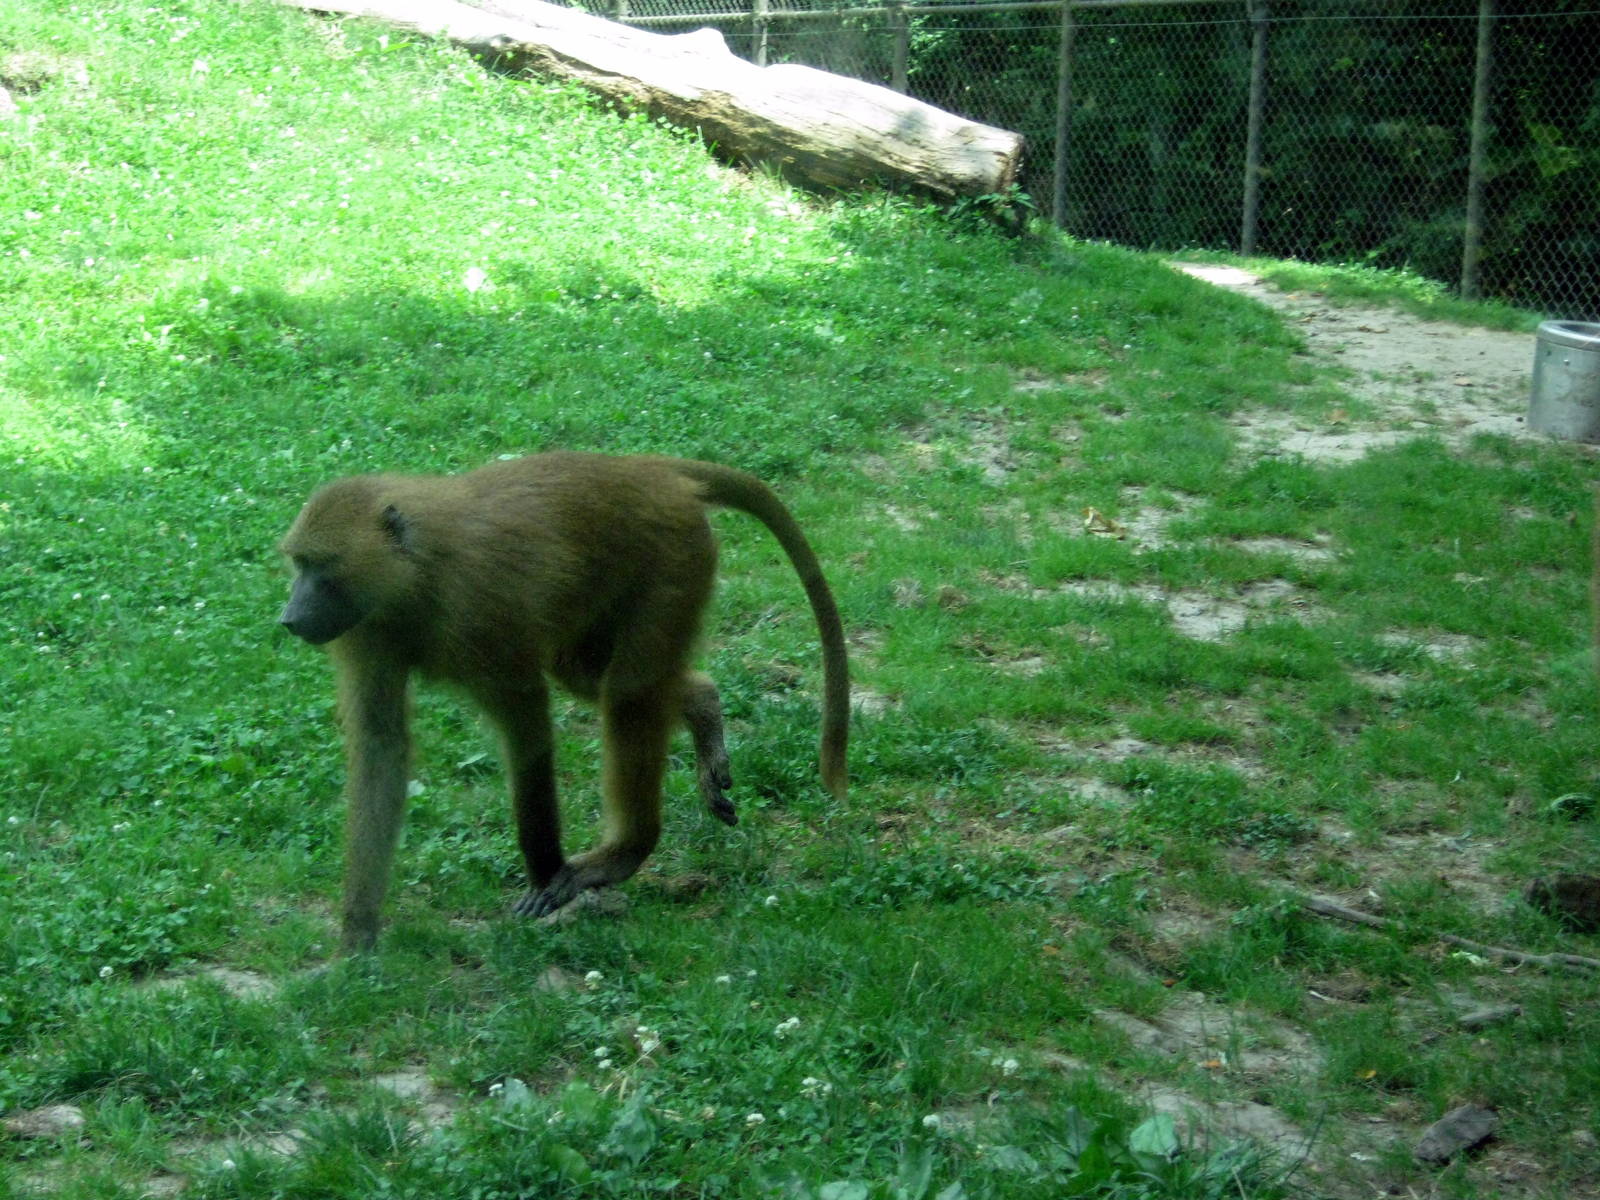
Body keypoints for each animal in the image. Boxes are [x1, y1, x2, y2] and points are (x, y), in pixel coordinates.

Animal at [278, 451, 849, 952]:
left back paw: (623, 854)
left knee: (629, 693)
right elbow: (382, 746)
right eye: (299, 565)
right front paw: (358, 937)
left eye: (318, 566)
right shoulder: (368, 628)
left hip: (675, 559)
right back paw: (703, 707)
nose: (289, 618)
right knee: (601, 676)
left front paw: (545, 877)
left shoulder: (478, 611)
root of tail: (648, 471)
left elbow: (527, 725)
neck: (417, 572)